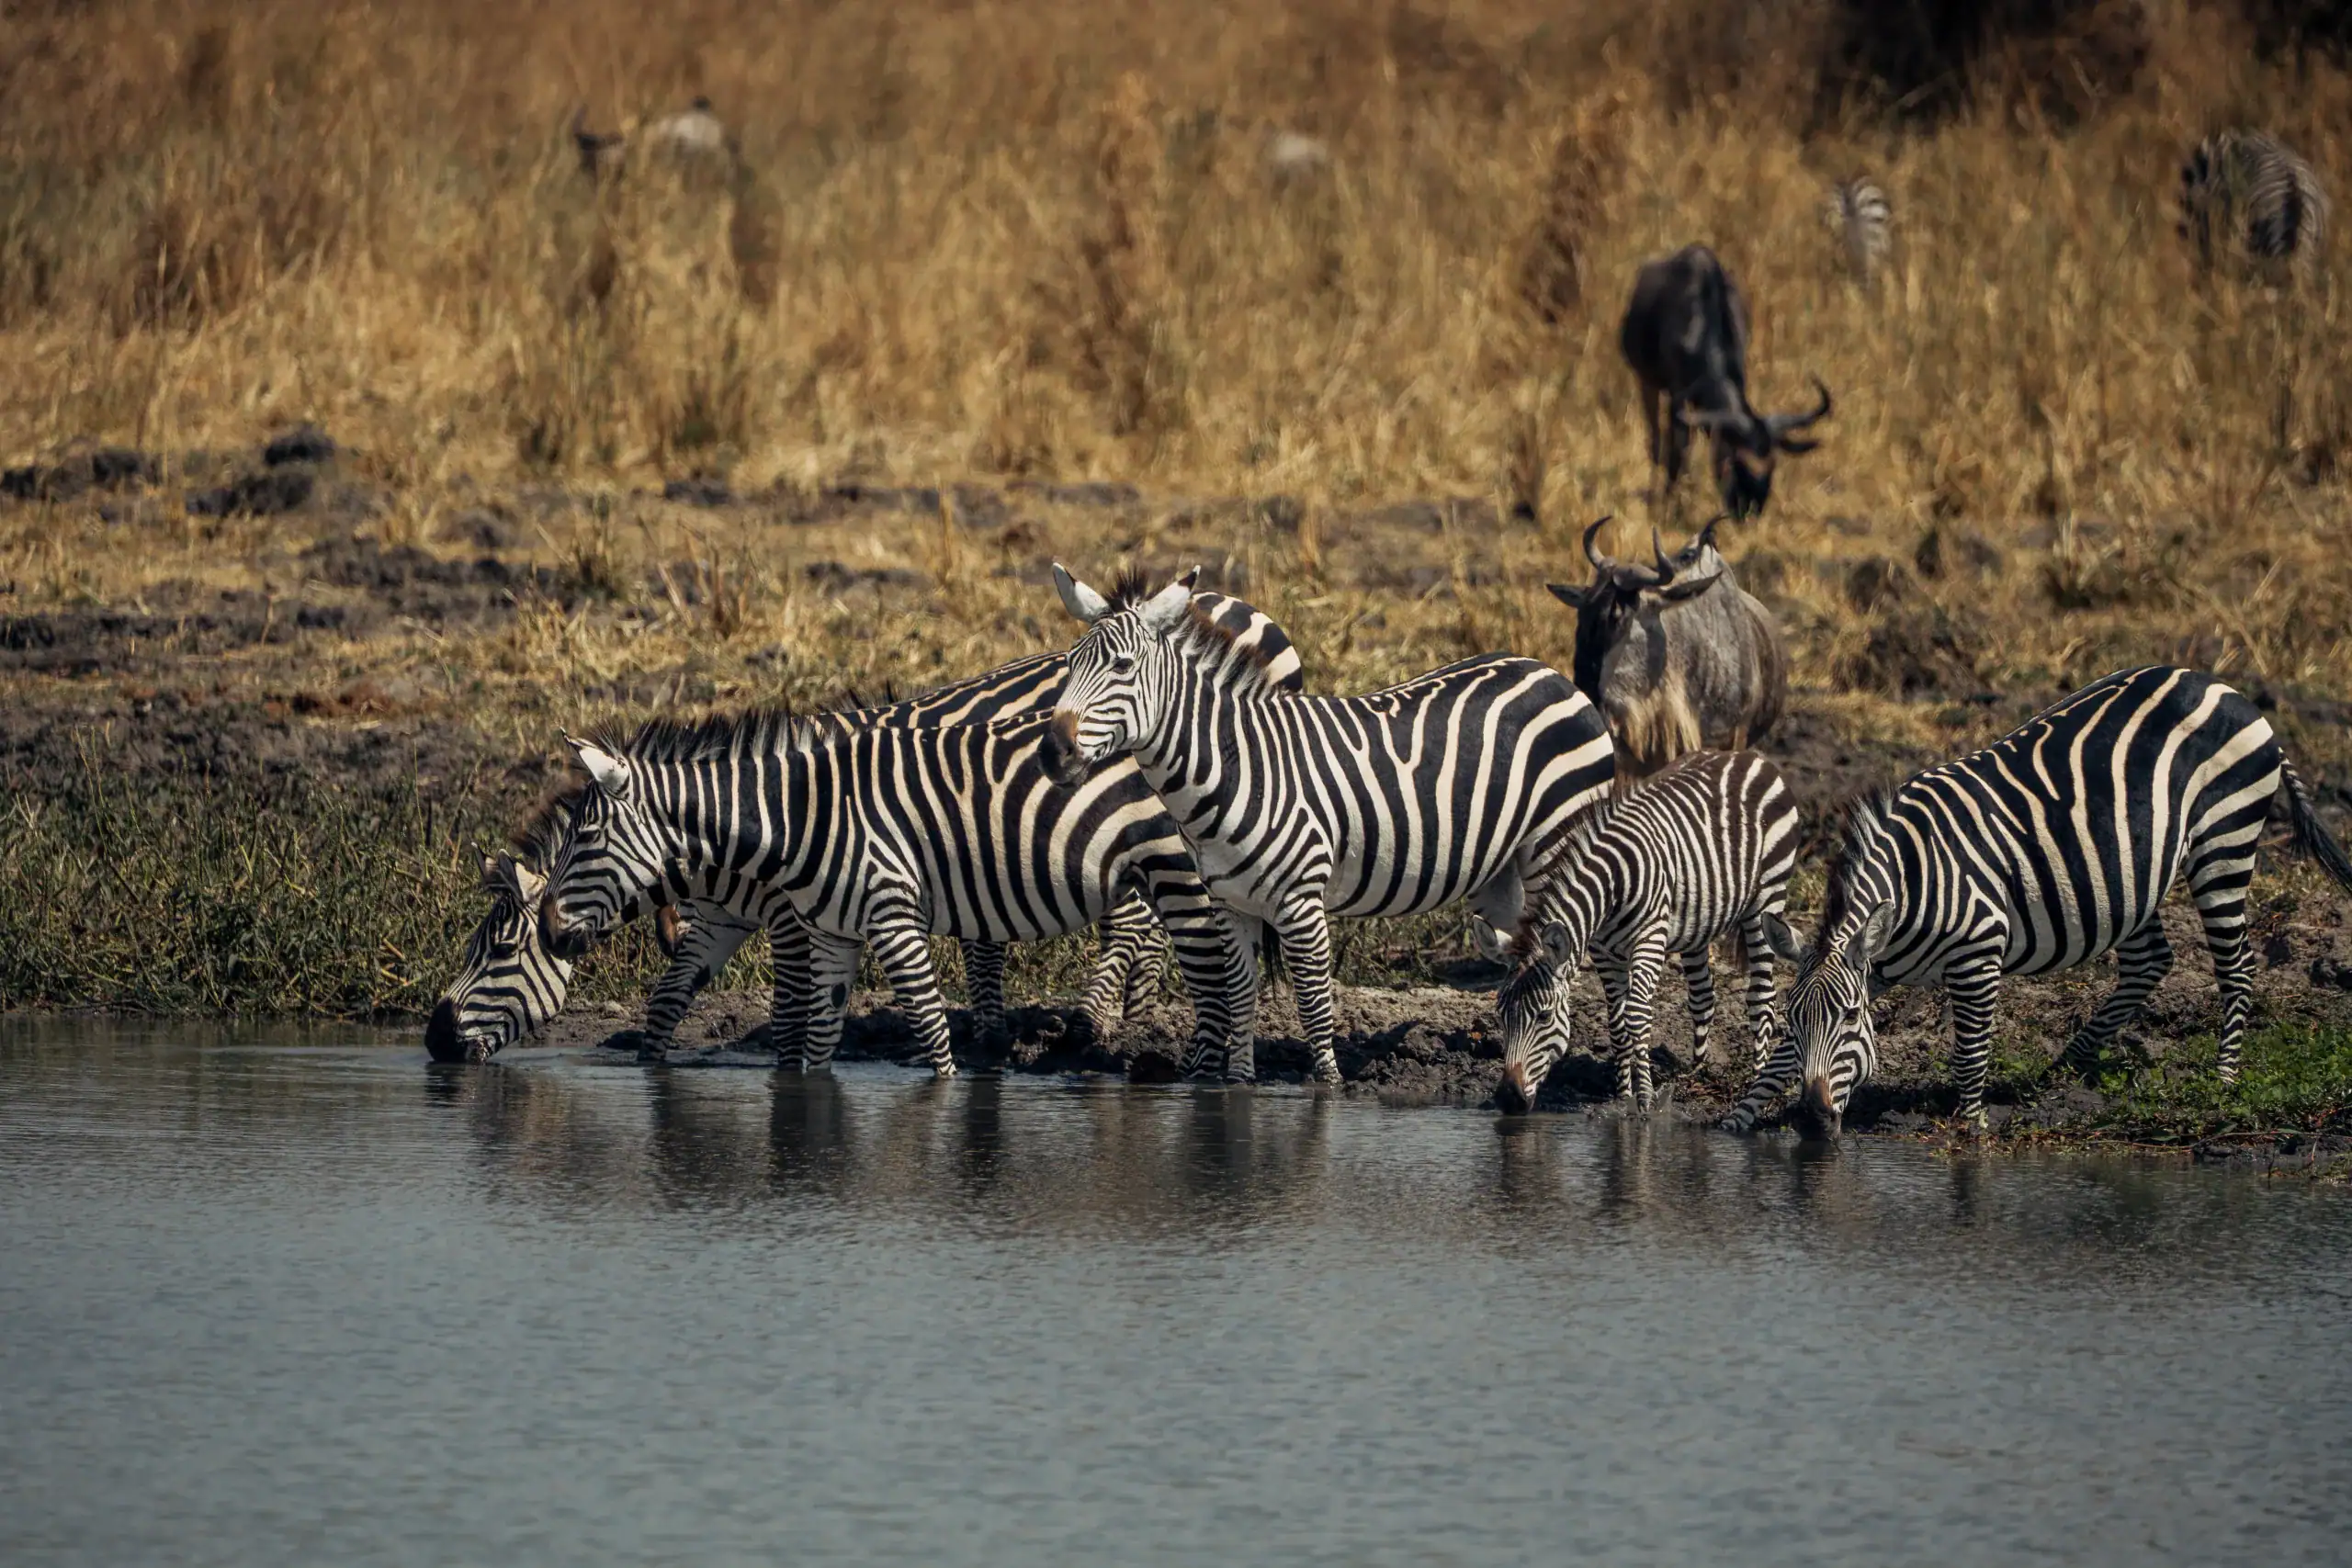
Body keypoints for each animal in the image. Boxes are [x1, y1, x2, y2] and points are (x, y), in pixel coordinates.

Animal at [536, 707, 1259, 1080]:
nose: (547, 929)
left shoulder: (893, 918)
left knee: (1212, 982)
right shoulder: (831, 931)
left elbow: (931, 1030)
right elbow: (818, 1040)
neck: (798, 817)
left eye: (590, 837)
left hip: (1179, 872)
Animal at [1044, 564, 1618, 1083]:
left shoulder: (1302, 902)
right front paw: (1237, 1083)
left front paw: (1329, 1087)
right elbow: (1240, 998)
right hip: (1502, 870)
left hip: (1557, 843)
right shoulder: (1231, 903)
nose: (1054, 750)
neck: (1235, 765)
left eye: (1122, 666)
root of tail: (1552, 674)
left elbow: (1315, 1009)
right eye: (1069, 664)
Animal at [1491, 750, 1799, 1112]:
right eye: (1500, 1016)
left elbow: (1636, 1015)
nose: (1508, 1098)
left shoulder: (1649, 939)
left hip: (1768, 896)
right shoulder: (1603, 952)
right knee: (1703, 996)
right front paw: (1623, 1094)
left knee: (1762, 997)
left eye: (1543, 1016)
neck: (1610, 886)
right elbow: (1617, 1021)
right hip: (1698, 918)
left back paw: (1758, 1078)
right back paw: (1697, 1070)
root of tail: (1748, 755)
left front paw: (1646, 1098)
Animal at [1727, 666, 2352, 1138]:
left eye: (1852, 1018)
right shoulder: (1868, 963)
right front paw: (1737, 1120)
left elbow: (1970, 1053)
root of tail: (2228, 689)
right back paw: (2066, 1064)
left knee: (2238, 966)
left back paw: (2223, 1079)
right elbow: (1780, 1061)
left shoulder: (1978, 954)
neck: (1912, 886)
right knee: (2151, 961)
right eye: (1793, 1018)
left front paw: (1973, 1131)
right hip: (2132, 876)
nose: (1812, 1122)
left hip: (2225, 840)